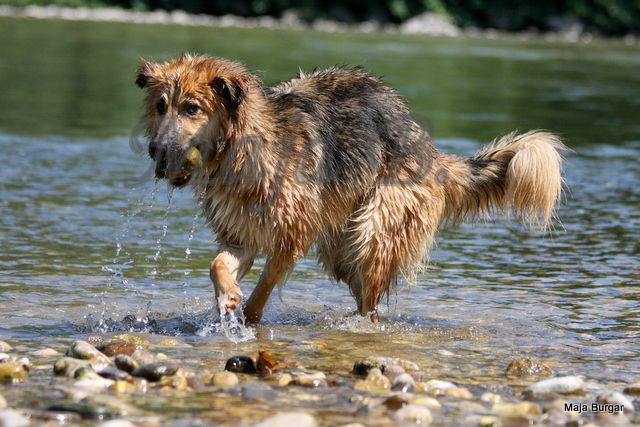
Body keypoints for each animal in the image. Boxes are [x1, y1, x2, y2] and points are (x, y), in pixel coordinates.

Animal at [135, 55, 564, 324]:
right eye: (161, 106)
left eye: (192, 108)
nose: (156, 149)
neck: (246, 151)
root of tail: (430, 149)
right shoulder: (242, 236)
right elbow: (218, 265)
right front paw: (227, 296)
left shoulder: (290, 238)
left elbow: (262, 293)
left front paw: (248, 318)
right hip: (340, 249)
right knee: (361, 294)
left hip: (375, 229)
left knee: (372, 298)